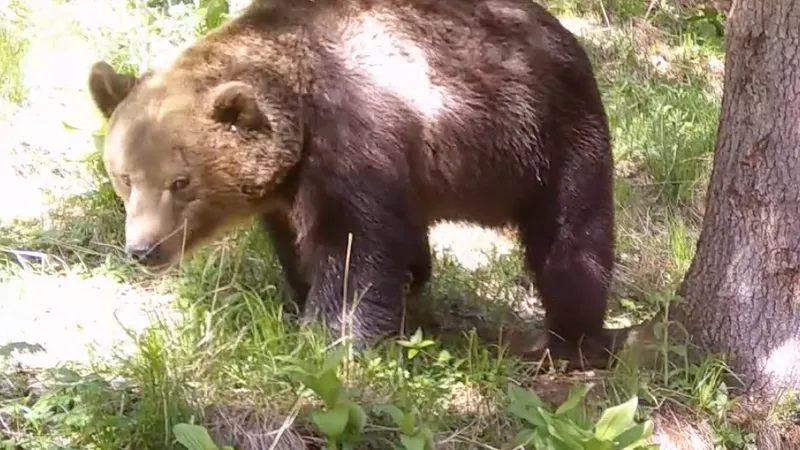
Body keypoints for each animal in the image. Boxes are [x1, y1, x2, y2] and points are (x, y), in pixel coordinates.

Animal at [86, 0, 612, 362]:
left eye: (181, 182)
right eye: (125, 177)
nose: (144, 249)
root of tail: (559, 31)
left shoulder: (352, 142)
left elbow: (352, 251)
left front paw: (329, 336)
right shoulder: (291, 190)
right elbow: (302, 245)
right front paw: (302, 302)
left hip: (545, 135)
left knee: (571, 239)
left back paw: (567, 341)